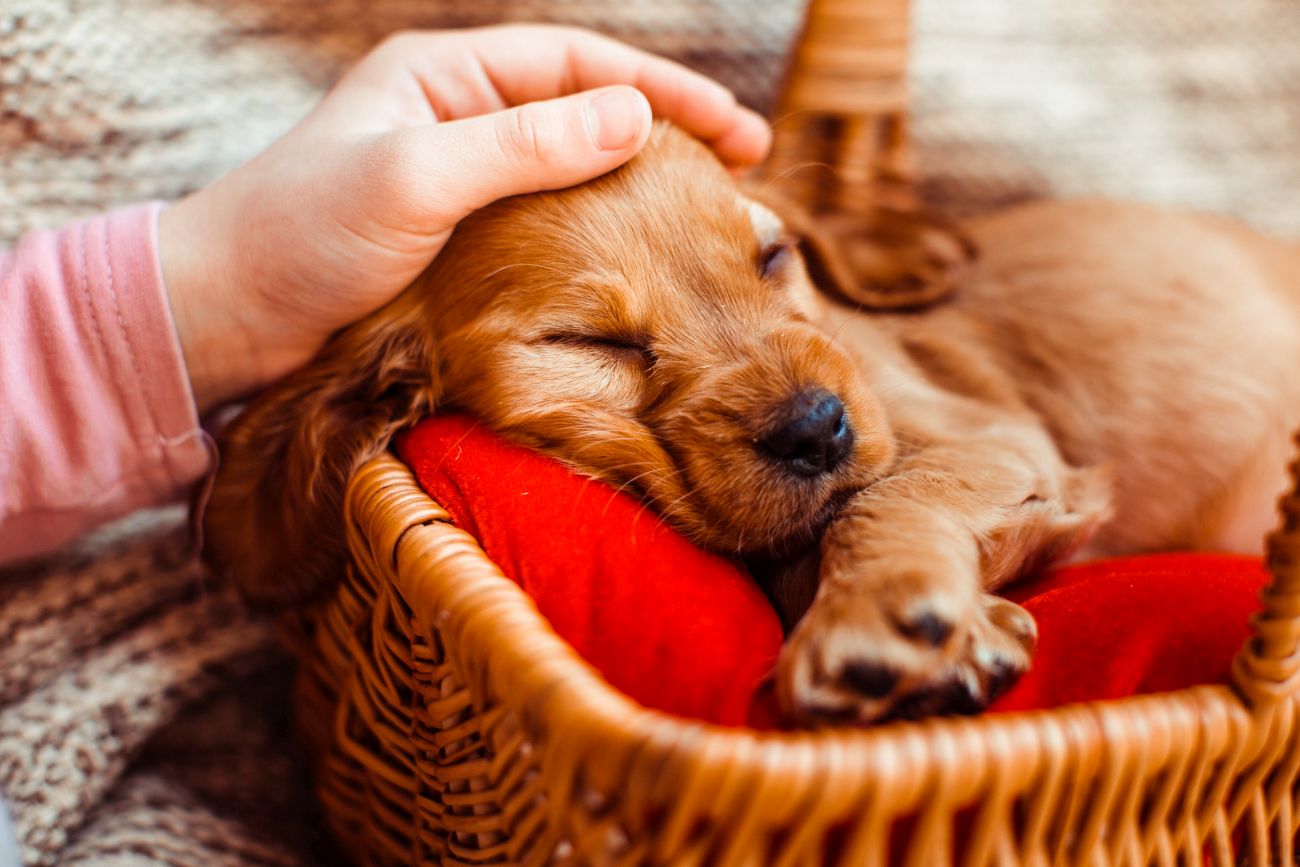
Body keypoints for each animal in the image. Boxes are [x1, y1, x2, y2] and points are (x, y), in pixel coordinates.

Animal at [205, 122, 1300, 727]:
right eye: (589, 341)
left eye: (773, 257)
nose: (819, 429)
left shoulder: (997, 437)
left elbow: (885, 494)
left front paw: (878, 620)